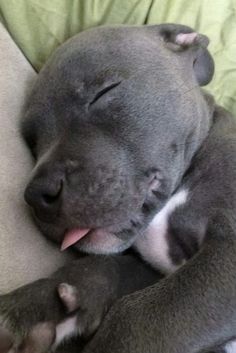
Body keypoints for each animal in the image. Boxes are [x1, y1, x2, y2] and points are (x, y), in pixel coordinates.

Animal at [0, 24, 236, 352]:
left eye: (104, 93)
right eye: (33, 142)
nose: (37, 194)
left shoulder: (227, 250)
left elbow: (135, 315)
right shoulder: (153, 269)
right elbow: (107, 267)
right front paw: (38, 304)